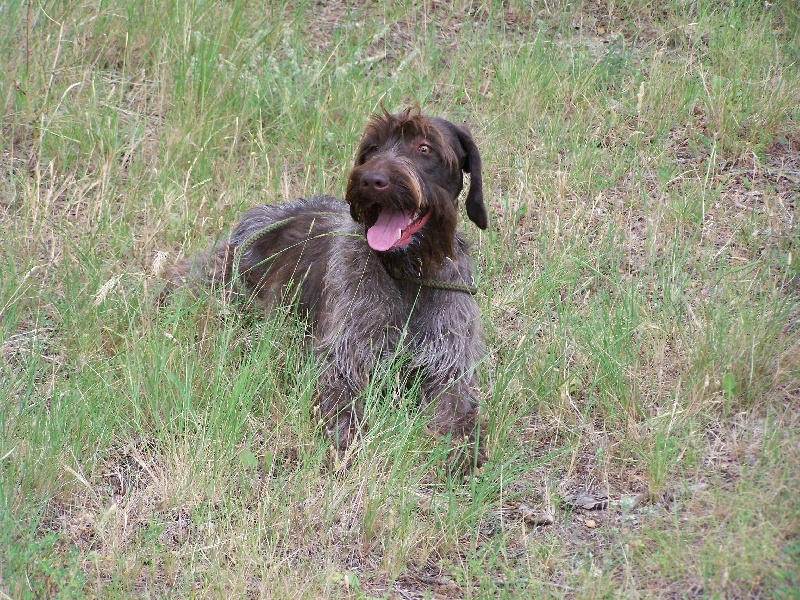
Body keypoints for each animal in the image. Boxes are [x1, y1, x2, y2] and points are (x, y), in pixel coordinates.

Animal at [162, 109, 488, 474]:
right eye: (372, 148)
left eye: (424, 147)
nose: (371, 180)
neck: (407, 275)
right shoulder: (341, 361)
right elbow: (341, 408)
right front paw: (345, 447)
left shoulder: (450, 367)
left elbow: (460, 412)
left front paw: (463, 452)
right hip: (225, 282)